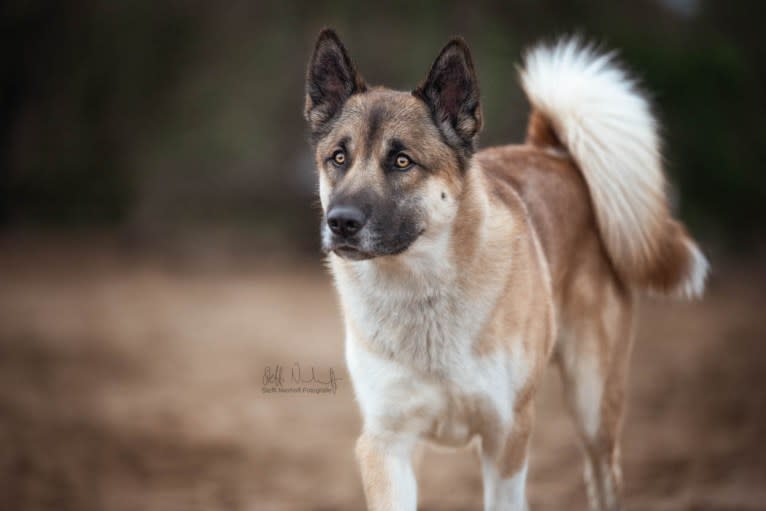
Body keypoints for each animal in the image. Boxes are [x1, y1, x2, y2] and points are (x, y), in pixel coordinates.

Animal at [304, 29, 712, 511]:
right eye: (338, 158)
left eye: (402, 162)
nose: (341, 223)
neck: (422, 293)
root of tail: (553, 153)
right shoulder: (386, 444)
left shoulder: (507, 437)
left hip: (594, 407)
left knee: (603, 475)